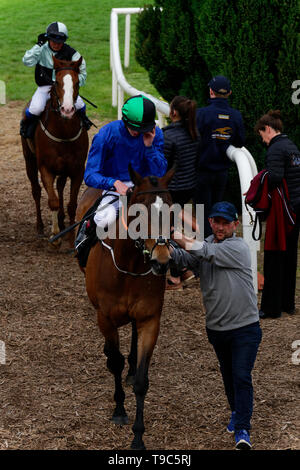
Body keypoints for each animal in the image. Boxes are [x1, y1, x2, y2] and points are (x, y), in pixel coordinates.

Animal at [21, 56, 88, 246]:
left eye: (77, 82)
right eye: (57, 82)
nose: (67, 109)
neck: (63, 132)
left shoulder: (77, 169)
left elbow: (72, 204)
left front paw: (70, 236)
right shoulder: (46, 168)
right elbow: (52, 201)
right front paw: (55, 236)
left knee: (60, 186)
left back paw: (61, 220)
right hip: (29, 160)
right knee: (36, 191)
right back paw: (40, 226)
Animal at [75, 167, 176, 450]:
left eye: (171, 211)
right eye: (139, 214)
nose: (162, 261)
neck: (129, 264)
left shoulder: (150, 319)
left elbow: (141, 381)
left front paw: (138, 437)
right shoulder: (105, 317)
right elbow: (115, 362)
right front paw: (119, 410)